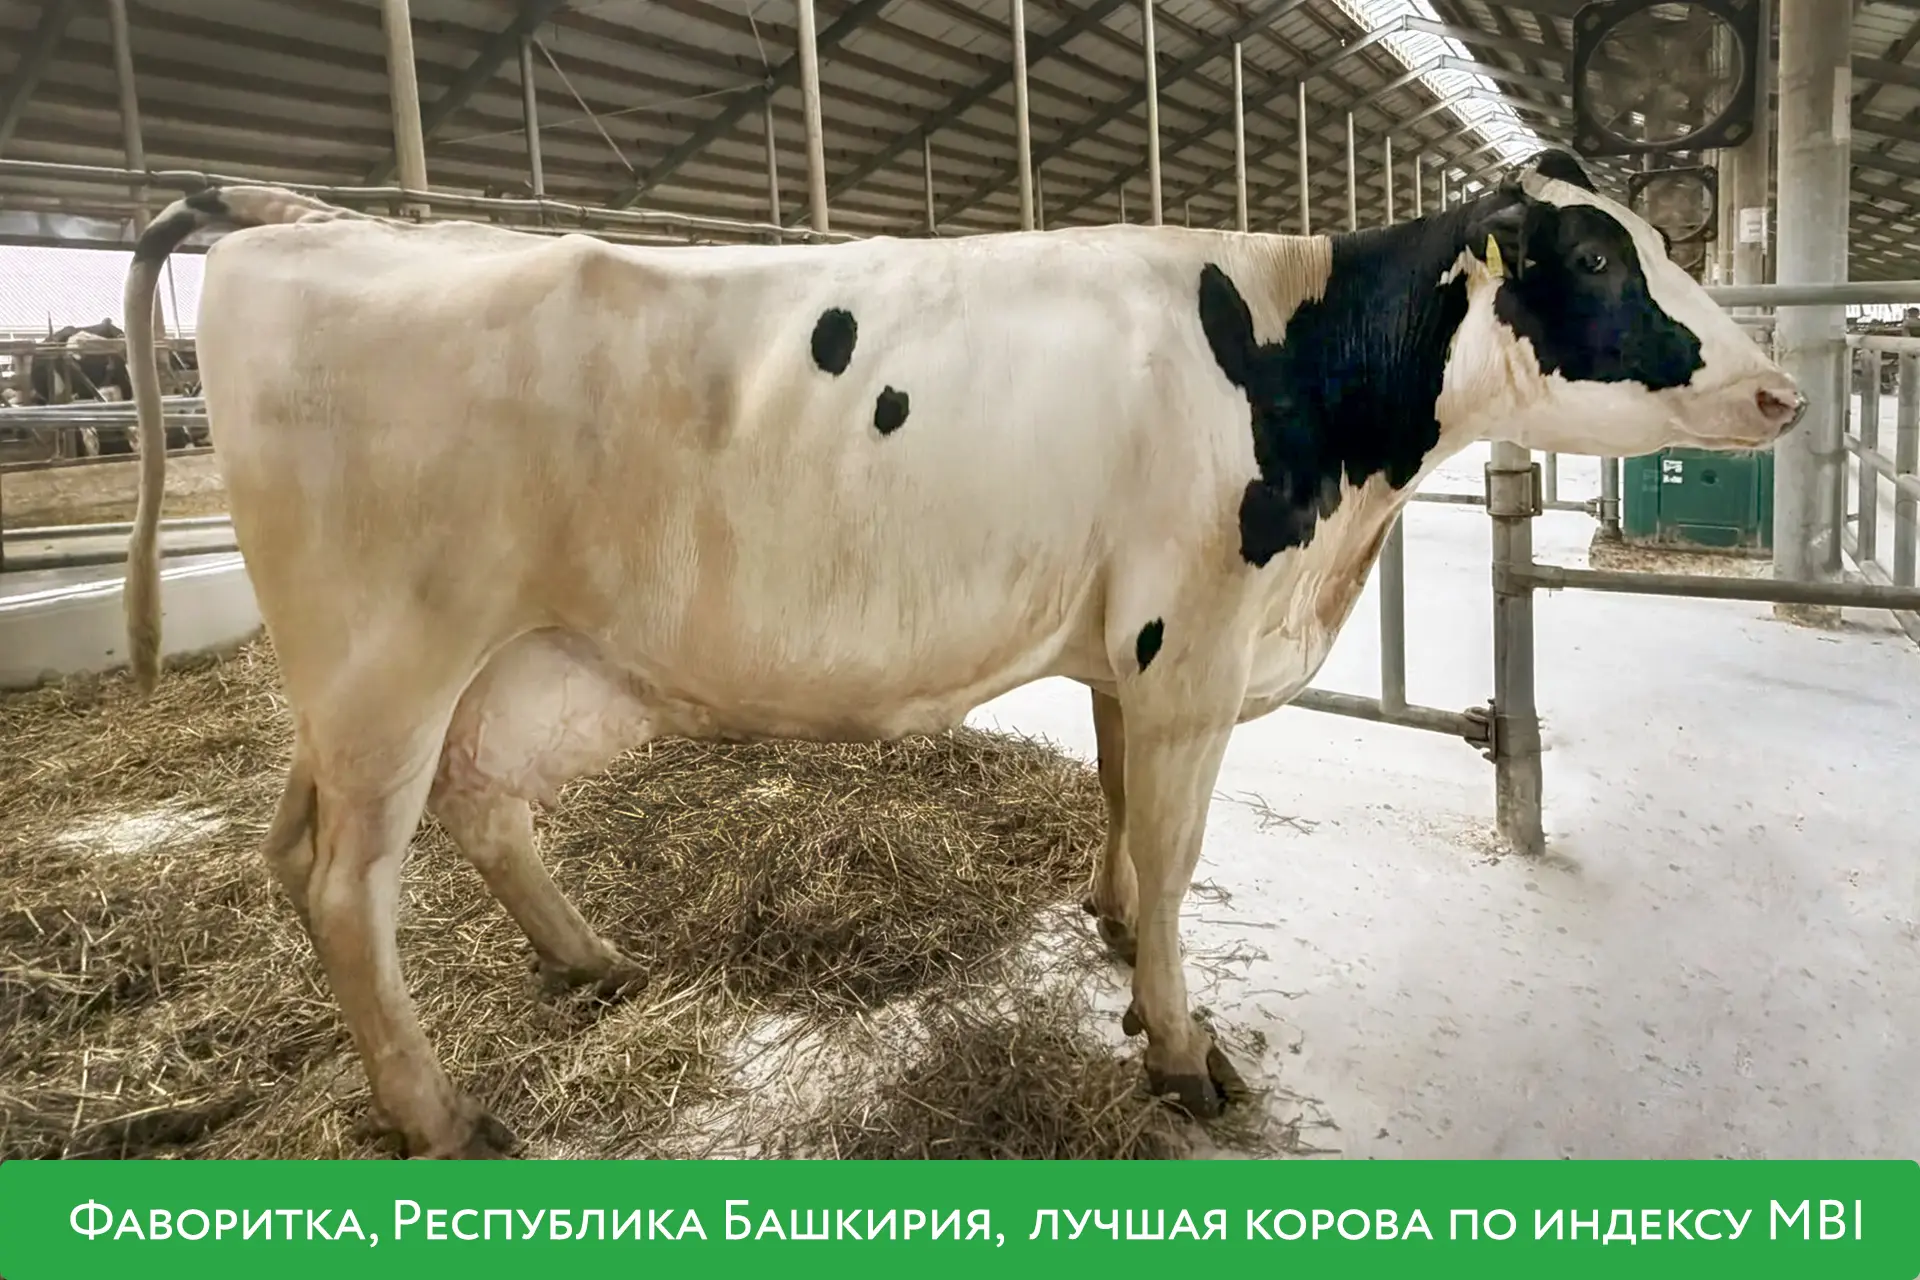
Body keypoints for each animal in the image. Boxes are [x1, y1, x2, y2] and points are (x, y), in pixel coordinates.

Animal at [119, 150, 1803, 1159]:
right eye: (1598, 262)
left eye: (1662, 241)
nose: (1783, 391)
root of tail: (306, 220)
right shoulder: (1191, 643)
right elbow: (1177, 850)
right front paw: (1180, 1048)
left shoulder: (1131, 643)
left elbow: (1119, 808)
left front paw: (1115, 940)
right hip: (391, 654)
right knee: (348, 879)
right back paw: (439, 1116)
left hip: (449, 667)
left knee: (393, 824)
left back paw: (588, 962)